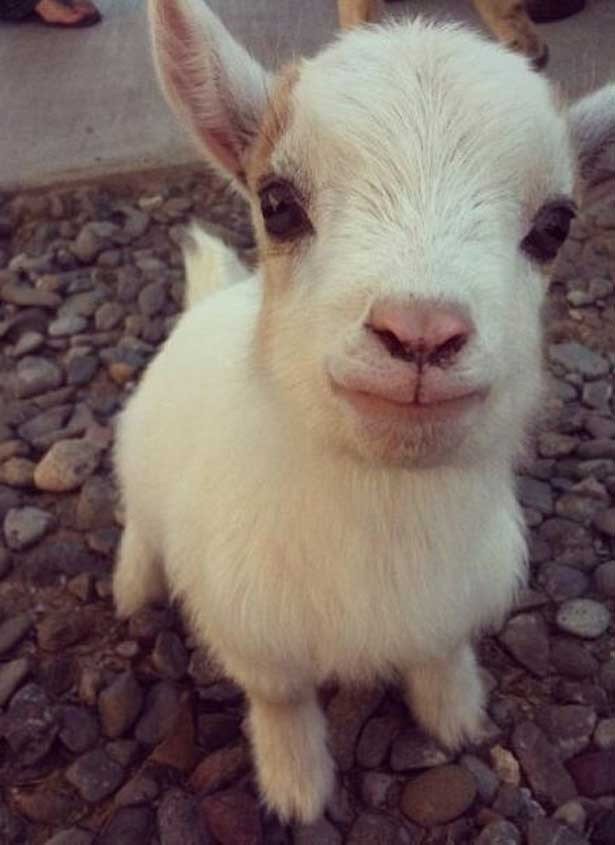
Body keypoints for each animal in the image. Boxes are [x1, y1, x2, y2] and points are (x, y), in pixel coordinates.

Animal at [113, 0, 615, 824]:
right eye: (277, 203)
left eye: (555, 225)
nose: (420, 333)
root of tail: (213, 295)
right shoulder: (254, 635)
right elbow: (281, 703)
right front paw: (295, 787)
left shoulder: (449, 606)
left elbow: (440, 656)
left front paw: (457, 717)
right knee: (139, 526)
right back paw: (132, 587)